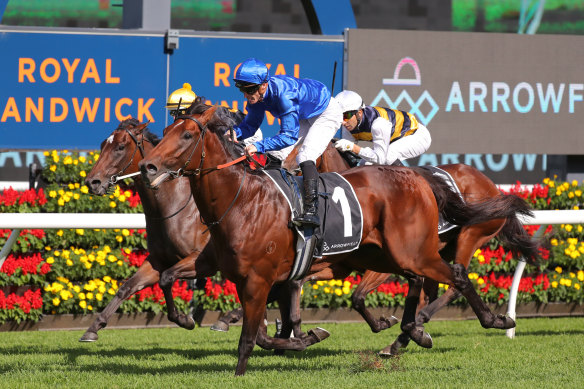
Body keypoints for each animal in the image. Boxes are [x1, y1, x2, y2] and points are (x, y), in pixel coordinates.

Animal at [138, 104, 532, 374]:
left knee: (457, 277)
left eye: (187, 136)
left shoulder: (261, 278)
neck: (242, 201)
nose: (148, 167)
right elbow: (172, 278)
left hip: (424, 250)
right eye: (166, 130)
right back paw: (410, 332)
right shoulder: (232, 270)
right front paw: (305, 336)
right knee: (423, 283)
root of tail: (420, 180)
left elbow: (253, 336)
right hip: (387, 255)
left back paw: (496, 321)